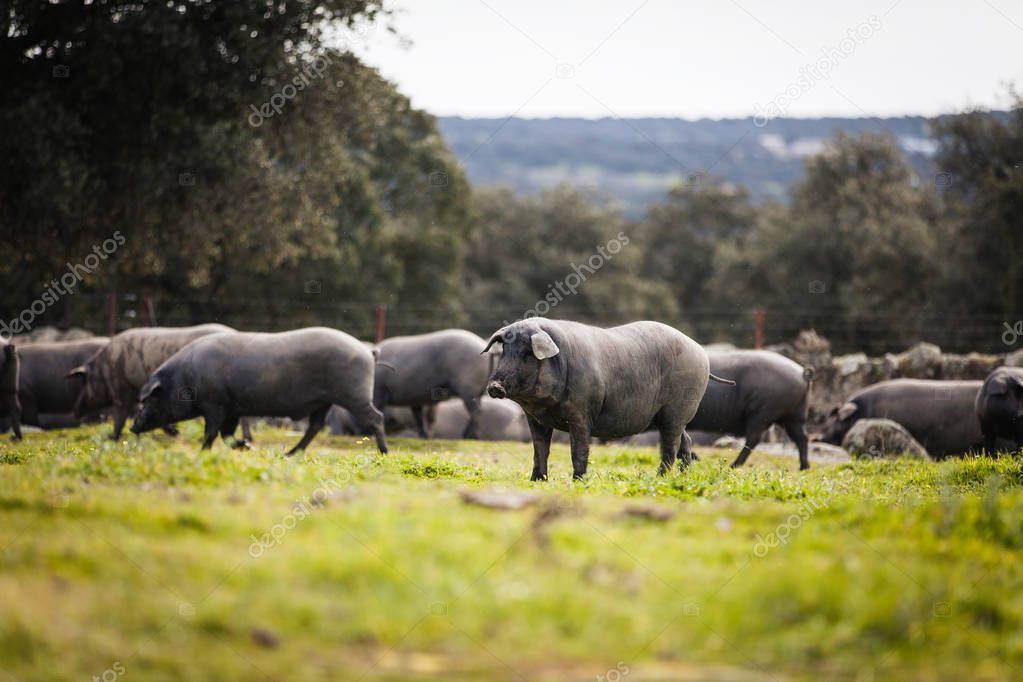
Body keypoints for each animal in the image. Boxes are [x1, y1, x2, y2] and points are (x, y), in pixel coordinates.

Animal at [69, 323, 249, 439]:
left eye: (84, 381)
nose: (75, 410)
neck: (102, 369)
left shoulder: (121, 390)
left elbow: (120, 417)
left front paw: (112, 438)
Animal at [127, 327, 384, 456]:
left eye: (148, 400)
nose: (133, 427)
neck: (184, 379)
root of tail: (367, 351)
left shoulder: (215, 404)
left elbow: (211, 432)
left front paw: (203, 452)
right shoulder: (232, 409)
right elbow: (226, 434)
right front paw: (247, 446)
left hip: (354, 394)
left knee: (376, 417)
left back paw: (384, 452)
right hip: (324, 402)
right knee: (315, 427)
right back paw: (290, 454)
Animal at [478, 321, 728, 480]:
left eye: (527, 353)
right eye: (504, 350)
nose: (495, 386)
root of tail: (701, 353)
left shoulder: (580, 412)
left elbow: (579, 449)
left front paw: (578, 481)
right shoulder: (536, 419)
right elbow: (539, 449)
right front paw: (537, 480)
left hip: (677, 408)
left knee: (671, 445)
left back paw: (660, 478)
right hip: (673, 416)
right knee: (685, 441)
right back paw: (684, 477)